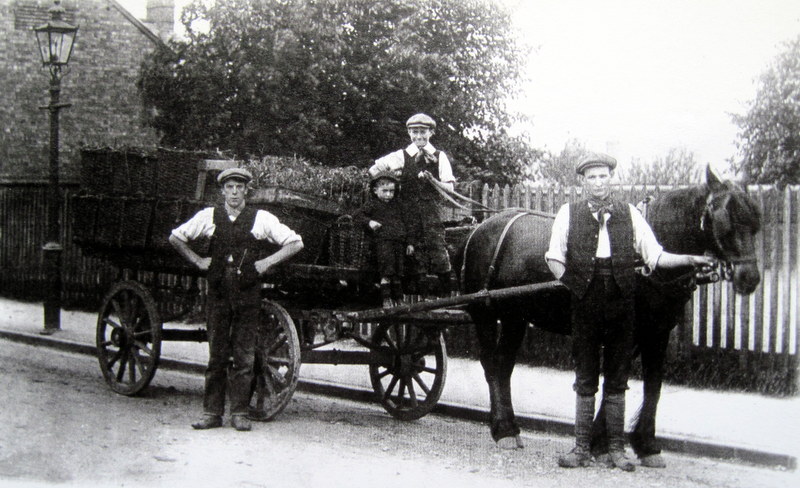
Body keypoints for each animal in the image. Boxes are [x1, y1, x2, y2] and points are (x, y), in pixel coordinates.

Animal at [456, 165, 764, 462]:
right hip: (485, 315)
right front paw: (600, 440)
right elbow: (617, 381)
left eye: (755, 221)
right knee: (491, 365)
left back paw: (508, 427)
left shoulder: (657, 331)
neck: (646, 261)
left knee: (503, 365)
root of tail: (480, 229)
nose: (749, 278)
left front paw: (644, 444)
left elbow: (651, 384)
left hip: (514, 317)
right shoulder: (631, 332)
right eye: (723, 218)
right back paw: (503, 429)